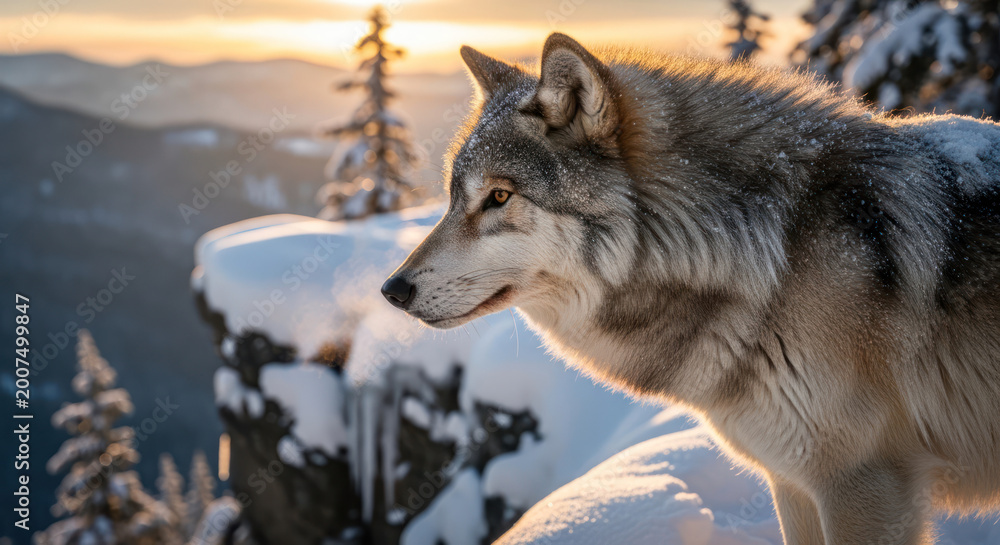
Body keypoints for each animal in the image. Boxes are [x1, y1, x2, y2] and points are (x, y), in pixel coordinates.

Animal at [381, 33, 1000, 544]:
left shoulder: (863, 485)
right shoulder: (794, 483)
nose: (392, 290)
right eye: (453, 198)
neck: (773, 254)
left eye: (499, 197)